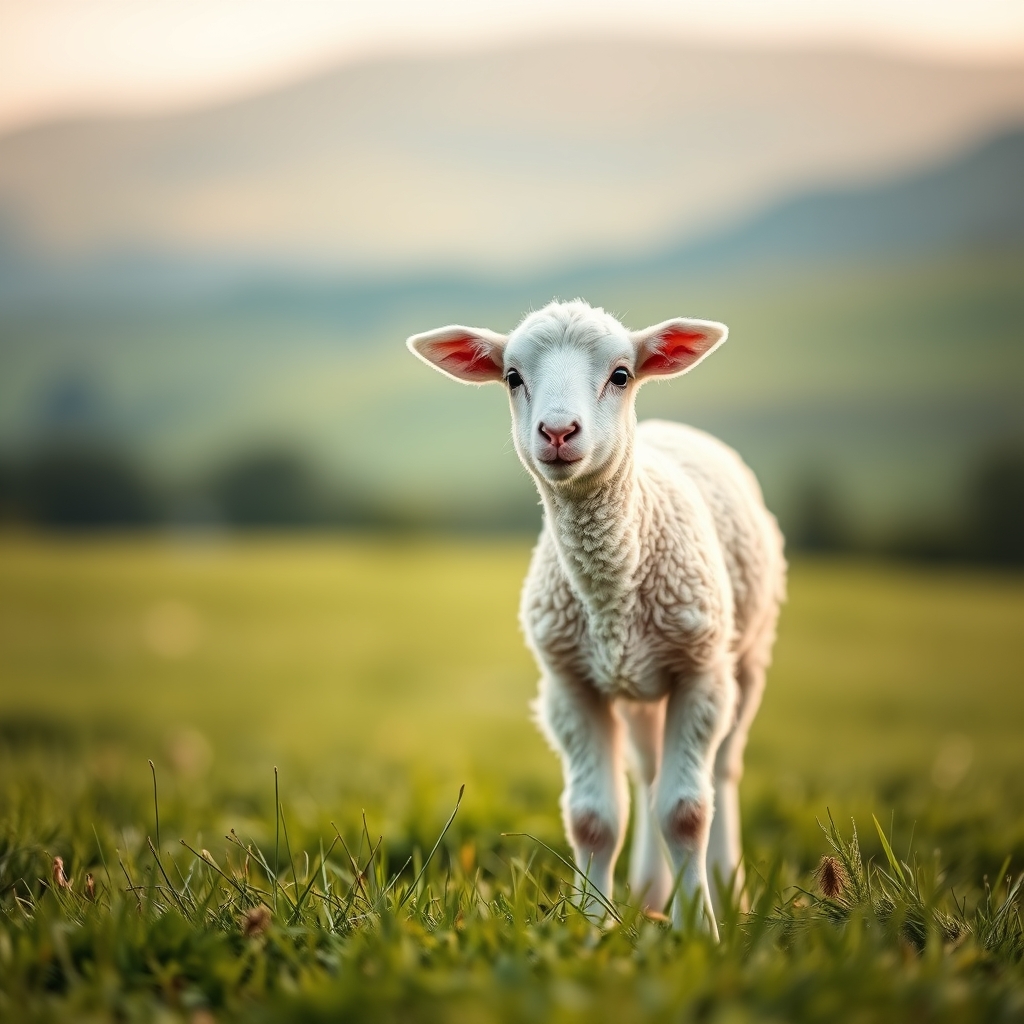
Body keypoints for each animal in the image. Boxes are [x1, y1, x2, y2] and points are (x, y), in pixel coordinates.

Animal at [407, 300, 786, 933]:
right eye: (512, 377)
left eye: (621, 375)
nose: (558, 432)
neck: (610, 594)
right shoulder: (571, 684)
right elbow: (594, 819)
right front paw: (591, 929)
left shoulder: (700, 673)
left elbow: (686, 811)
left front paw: (699, 932)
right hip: (636, 687)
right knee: (648, 772)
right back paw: (651, 891)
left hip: (747, 655)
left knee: (724, 770)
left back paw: (728, 890)